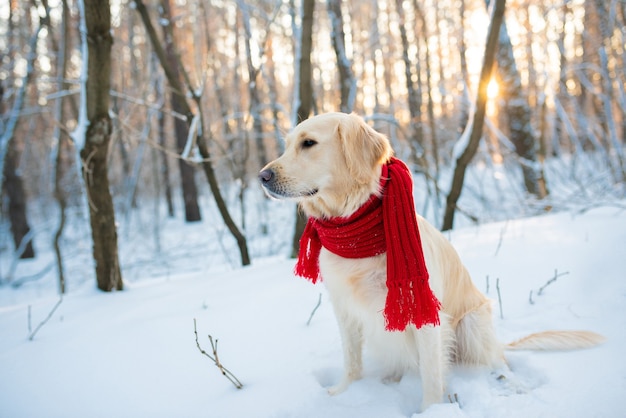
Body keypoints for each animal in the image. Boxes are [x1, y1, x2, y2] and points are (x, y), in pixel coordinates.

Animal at [258, 112, 600, 412]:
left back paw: (514, 385)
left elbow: (432, 376)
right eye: (287, 144)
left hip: (472, 325)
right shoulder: (345, 309)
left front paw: (430, 410)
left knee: (498, 362)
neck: (355, 232)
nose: (262, 176)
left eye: (309, 143)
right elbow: (352, 361)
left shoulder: (425, 313)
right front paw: (344, 394)